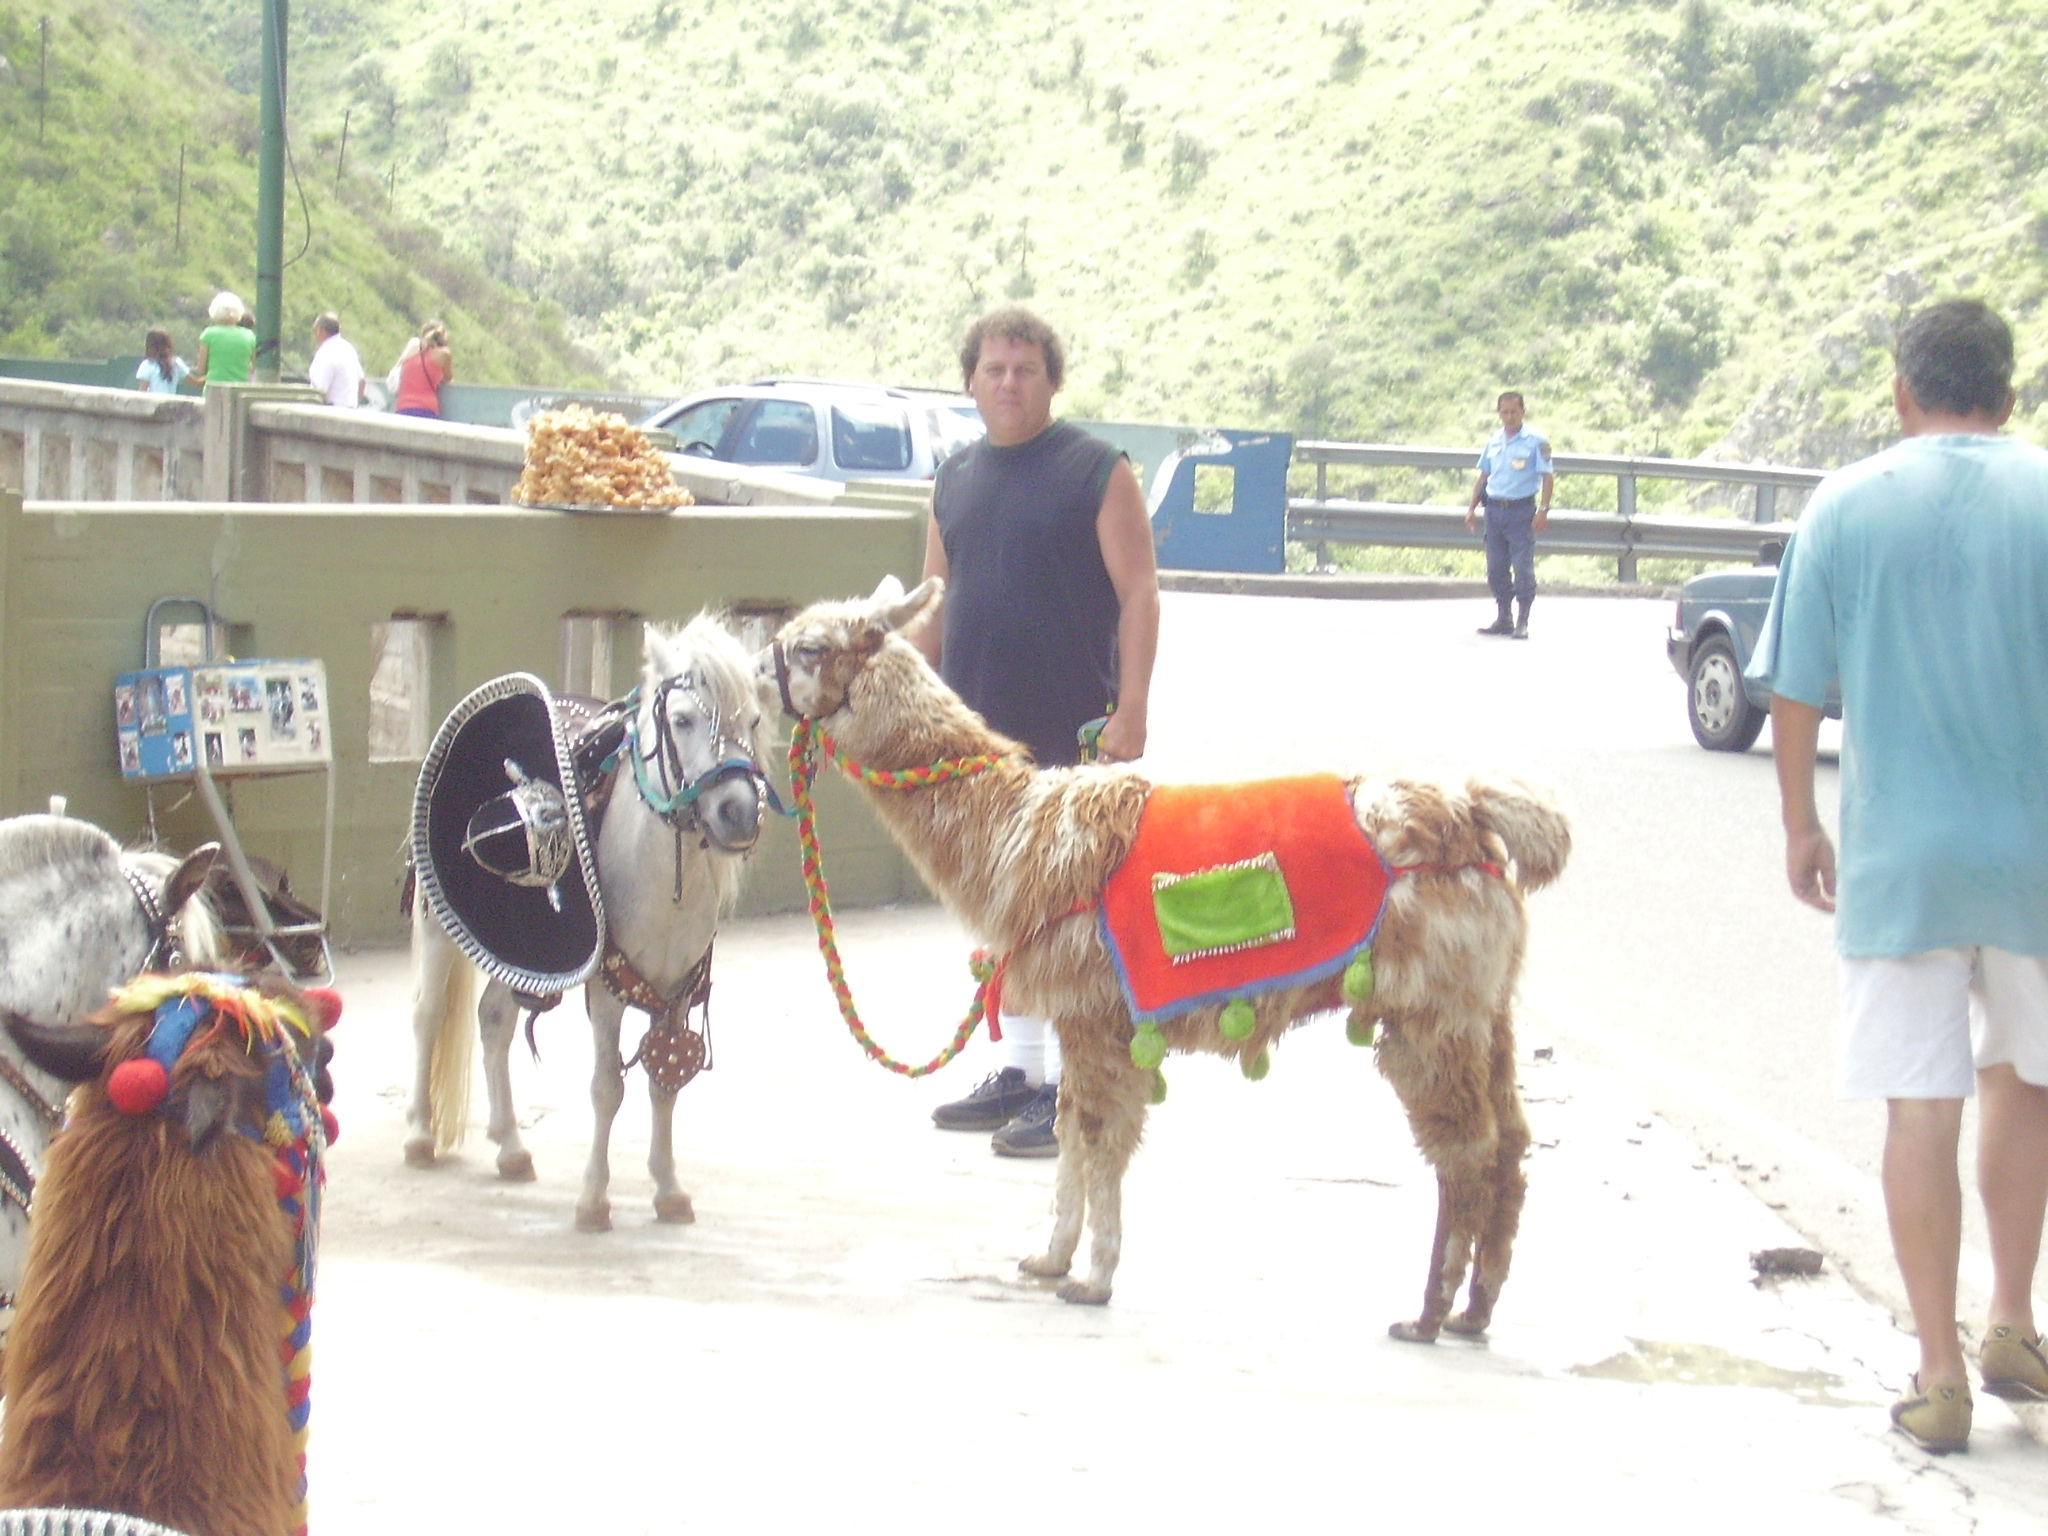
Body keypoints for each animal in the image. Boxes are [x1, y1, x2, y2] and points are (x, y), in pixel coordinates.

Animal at [405, 614, 775, 1231]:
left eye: (753, 720)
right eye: (682, 719)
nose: (739, 812)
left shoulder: (675, 989)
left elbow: (664, 1082)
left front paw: (668, 1189)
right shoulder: (608, 987)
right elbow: (607, 1088)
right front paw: (594, 1200)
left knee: (494, 1019)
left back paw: (510, 1146)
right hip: (438, 924)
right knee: (428, 1015)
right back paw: (418, 1135)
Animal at [764, 577, 1571, 1340]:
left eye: (809, 648)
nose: (760, 666)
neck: (1015, 835)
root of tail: (1471, 812)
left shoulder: (1093, 1009)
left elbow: (1098, 1136)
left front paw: (1091, 1278)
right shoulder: (1084, 1013)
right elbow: (1072, 1131)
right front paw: (1048, 1258)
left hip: (1428, 1003)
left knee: (1465, 1149)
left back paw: (1426, 1316)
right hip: (1482, 1003)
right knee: (1510, 1142)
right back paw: (1474, 1312)